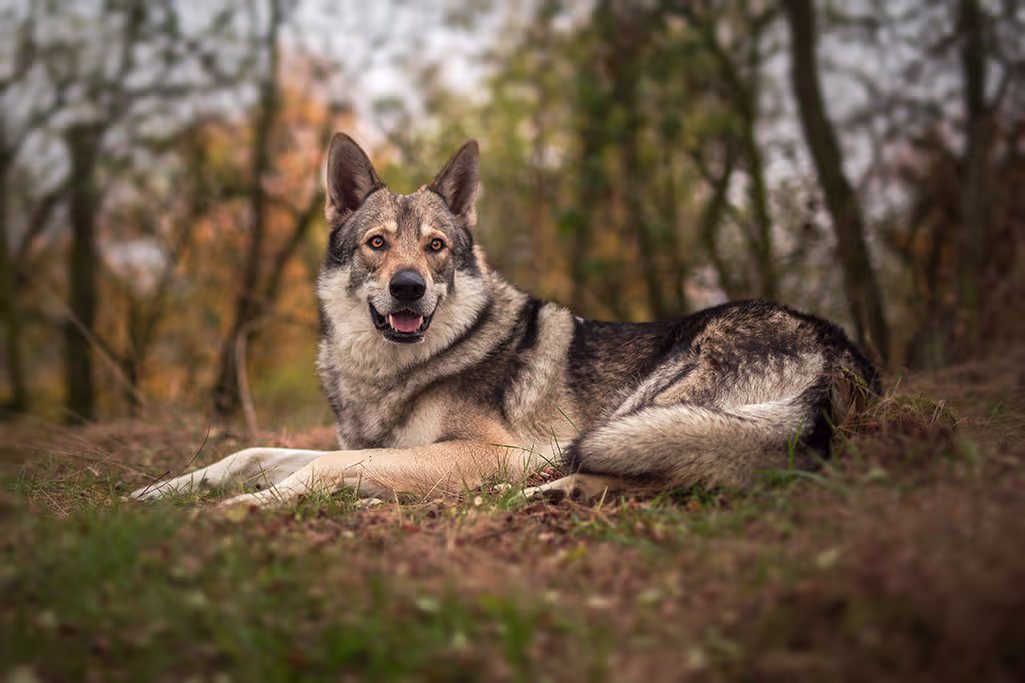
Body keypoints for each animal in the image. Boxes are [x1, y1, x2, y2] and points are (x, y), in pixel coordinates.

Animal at [131, 133, 879, 508]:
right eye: (377, 243)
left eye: (435, 246)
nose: (408, 288)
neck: (394, 372)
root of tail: (840, 351)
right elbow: (251, 453)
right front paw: (156, 490)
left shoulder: (488, 450)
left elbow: (321, 471)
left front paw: (244, 508)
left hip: (640, 411)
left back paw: (543, 491)